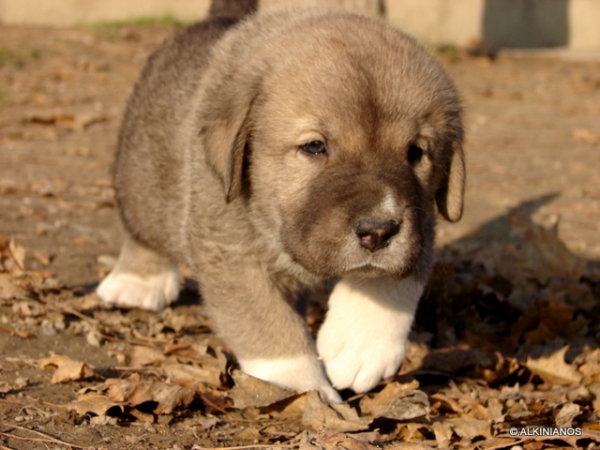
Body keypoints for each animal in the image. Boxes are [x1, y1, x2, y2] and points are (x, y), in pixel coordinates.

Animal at [97, 0, 464, 404]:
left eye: (415, 153)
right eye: (315, 147)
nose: (379, 231)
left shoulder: (422, 224)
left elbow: (396, 281)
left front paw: (359, 348)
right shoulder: (231, 250)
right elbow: (269, 325)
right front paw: (308, 388)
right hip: (143, 178)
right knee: (143, 226)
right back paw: (138, 282)